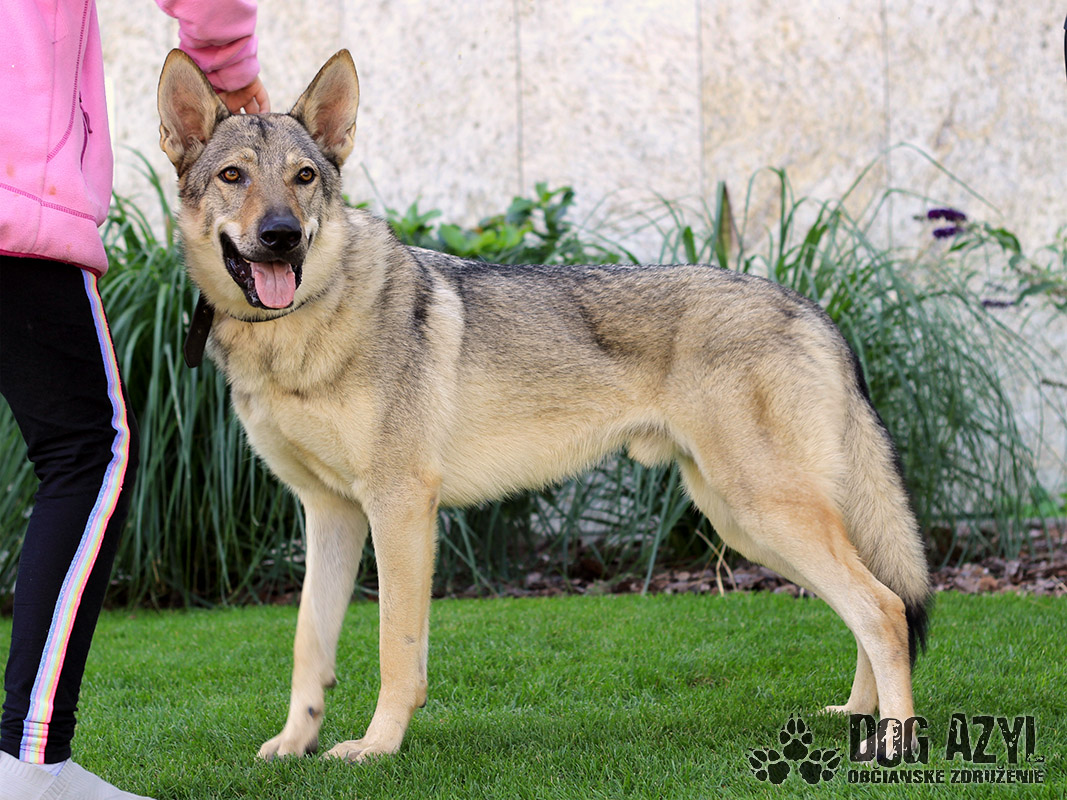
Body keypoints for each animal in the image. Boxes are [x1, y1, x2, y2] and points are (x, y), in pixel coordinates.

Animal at [157, 49, 931, 762]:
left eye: (304, 177)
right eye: (234, 176)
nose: (281, 236)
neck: (300, 331)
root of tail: (813, 309)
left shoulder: (400, 507)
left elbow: (394, 649)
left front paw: (377, 748)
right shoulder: (329, 514)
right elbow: (307, 645)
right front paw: (294, 745)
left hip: (762, 514)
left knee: (884, 609)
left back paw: (891, 742)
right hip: (747, 525)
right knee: (873, 607)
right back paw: (857, 716)